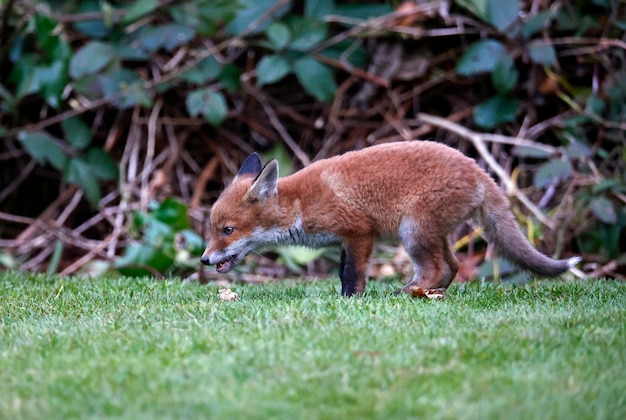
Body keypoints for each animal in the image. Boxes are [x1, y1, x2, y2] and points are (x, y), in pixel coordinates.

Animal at [201, 142, 580, 298]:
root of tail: (479, 170)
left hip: (413, 231)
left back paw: (407, 293)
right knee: (452, 265)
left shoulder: (359, 231)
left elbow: (353, 274)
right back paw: (429, 294)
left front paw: (351, 301)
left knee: (435, 268)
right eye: (213, 229)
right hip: (432, 233)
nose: (204, 259)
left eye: (228, 230)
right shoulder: (344, 240)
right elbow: (343, 272)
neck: (299, 204)